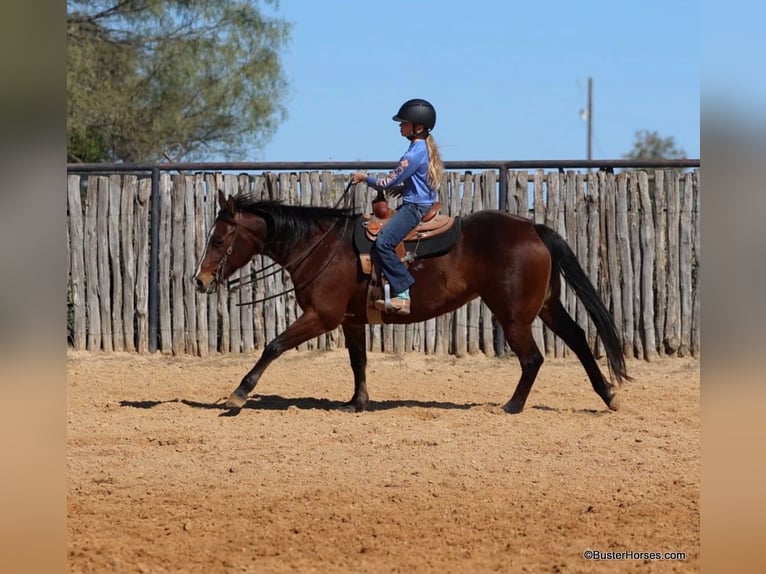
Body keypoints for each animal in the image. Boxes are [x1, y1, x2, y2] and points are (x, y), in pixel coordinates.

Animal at [194, 189, 630, 413]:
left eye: (218, 239)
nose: (199, 280)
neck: (322, 247)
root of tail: (533, 227)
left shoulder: (321, 316)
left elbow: (273, 345)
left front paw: (237, 395)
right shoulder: (351, 320)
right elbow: (358, 361)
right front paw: (358, 402)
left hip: (513, 315)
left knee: (533, 358)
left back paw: (511, 406)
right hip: (545, 306)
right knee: (578, 339)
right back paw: (608, 395)